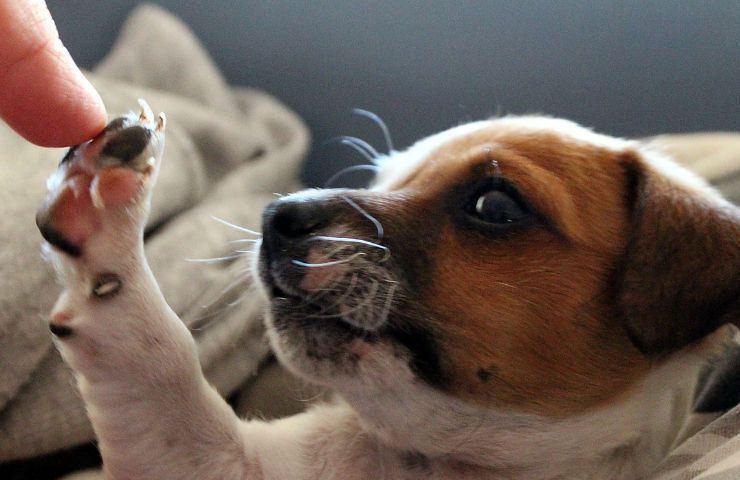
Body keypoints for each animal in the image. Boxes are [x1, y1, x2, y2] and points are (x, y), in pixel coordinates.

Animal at [37, 102, 736, 480]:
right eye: (382, 179)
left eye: (496, 205)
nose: (276, 214)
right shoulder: (206, 460)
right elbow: (157, 353)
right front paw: (101, 204)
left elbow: (155, 351)